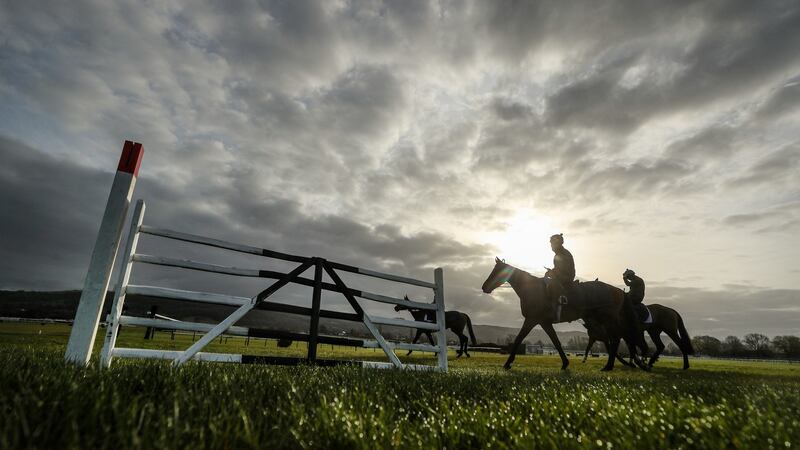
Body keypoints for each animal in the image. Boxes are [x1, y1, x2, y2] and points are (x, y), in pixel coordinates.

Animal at [478, 258, 648, 370]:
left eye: (497, 271)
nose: (484, 287)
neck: (533, 289)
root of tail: (617, 290)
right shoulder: (544, 322)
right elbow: (556, 342)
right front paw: (565, 363)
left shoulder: (532, 320)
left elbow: (519, 338)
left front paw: (508, 363)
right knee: (615, 339)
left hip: (607, 319)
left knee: (615, 339)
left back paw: (609, 366)